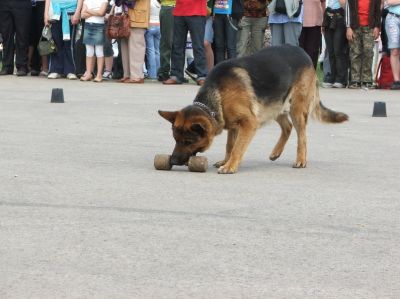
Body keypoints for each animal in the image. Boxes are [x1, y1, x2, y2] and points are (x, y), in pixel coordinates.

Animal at [159, 45, 346, 175]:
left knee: (302, 136)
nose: (172, 160)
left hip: (295, 109)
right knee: (287, 127)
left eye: (188, 142)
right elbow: (230, 145)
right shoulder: (233, 125)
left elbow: (238, 147)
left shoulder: (249, 123)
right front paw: (225, 161)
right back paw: (276, 152)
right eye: (175, 139)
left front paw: (230, 166)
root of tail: (304, 53)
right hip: (273, 105)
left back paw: (300, 160)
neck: (217, 93)